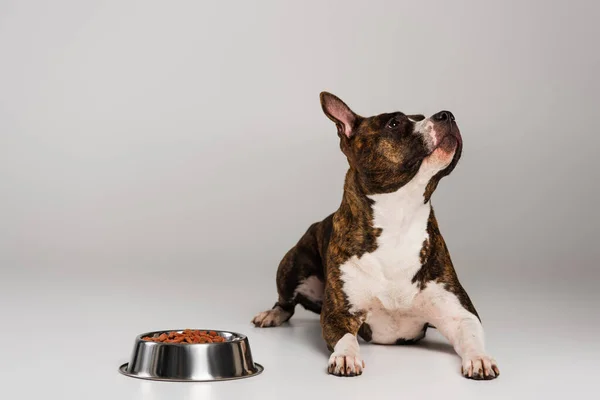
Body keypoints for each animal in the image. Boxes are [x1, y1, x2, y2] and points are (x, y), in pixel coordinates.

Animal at [251, 92, 500, 380]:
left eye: (421, 116)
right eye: (394, 123)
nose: (447, 115)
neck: (398, 219)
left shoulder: (459, 313)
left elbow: (471, 334)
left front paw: (480, 358)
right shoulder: (338, 313)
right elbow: (346, 337)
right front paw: (346, 356)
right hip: (292, 264)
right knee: (286, 303)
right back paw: (271, 315)